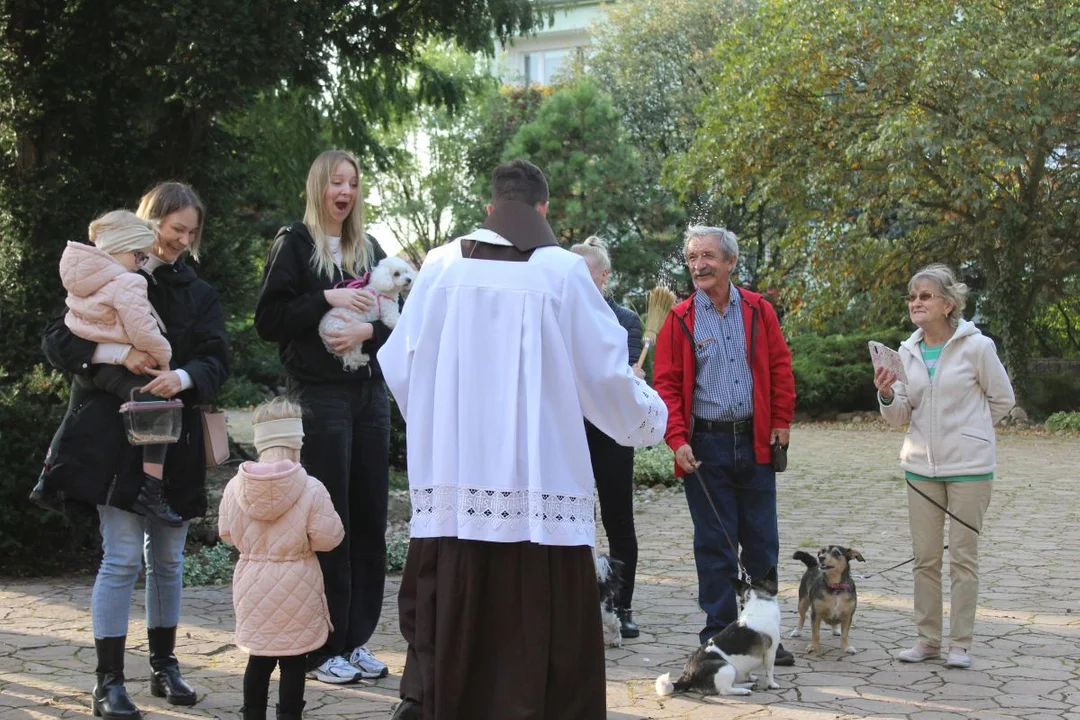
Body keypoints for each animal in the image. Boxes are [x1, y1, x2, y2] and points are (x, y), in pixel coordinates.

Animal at [652, 569, 781, 699]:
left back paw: (748, 685)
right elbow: (770, 671)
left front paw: (750, 678)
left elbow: (748, 670)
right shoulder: (770, 652)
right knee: (725, 690)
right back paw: (743, 691)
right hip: (726, 667)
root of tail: (688, 677)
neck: (757, 601)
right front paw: (772, 684)